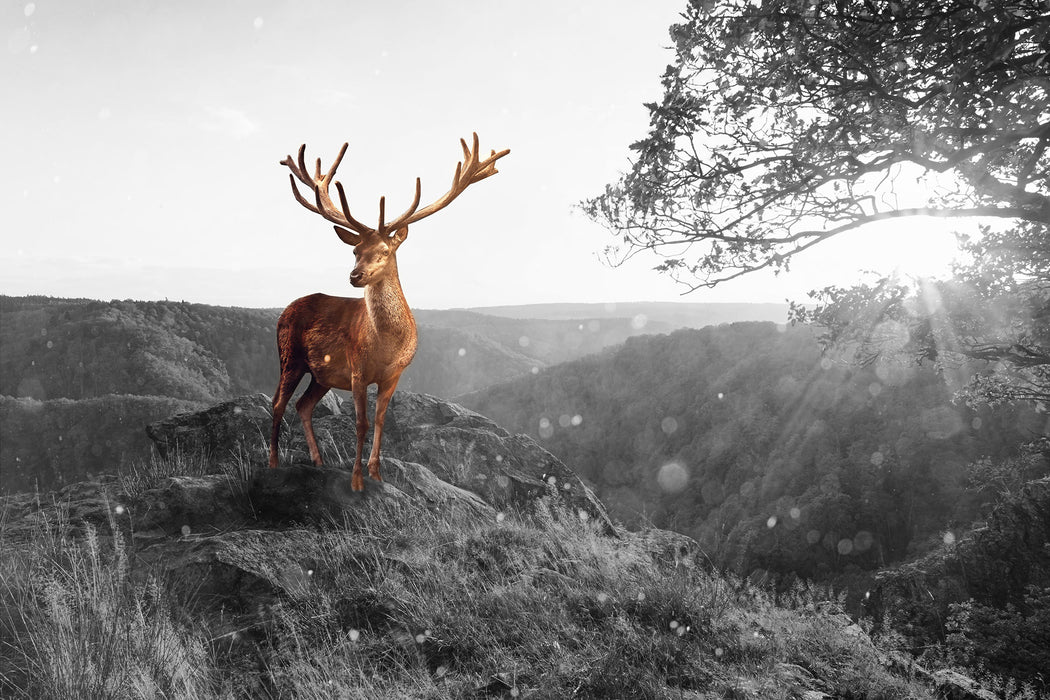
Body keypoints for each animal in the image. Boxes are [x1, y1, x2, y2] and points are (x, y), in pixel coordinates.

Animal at [264, 132, 506, 493]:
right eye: (354, 250)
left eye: (384, 250)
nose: (355, 275)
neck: (386, 346)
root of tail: (286, 309)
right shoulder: (357, 370)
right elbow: (361, 423)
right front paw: (356, 481)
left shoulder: (394, 374)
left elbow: (380, 420)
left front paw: (377, 474)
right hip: (289, 355)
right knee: (278, 403)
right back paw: (273, 464)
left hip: (321, 374)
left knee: (303, 405)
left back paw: (318, 461)